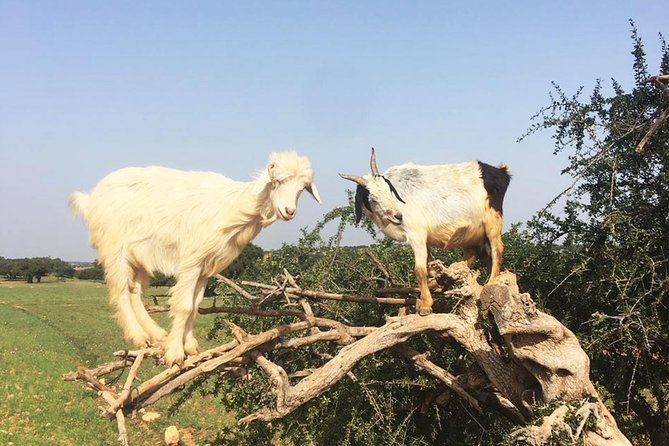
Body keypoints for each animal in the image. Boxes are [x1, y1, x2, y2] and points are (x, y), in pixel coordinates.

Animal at [70, 151, 320, 366]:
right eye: (277, 181)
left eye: (302, 188)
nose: (289, 211)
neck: (231, 207)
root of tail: (90, 199)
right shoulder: (192, 259)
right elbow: (183, 306)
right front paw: (174, 354)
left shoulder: (205, 266)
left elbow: (195, 305)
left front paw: (190, 346)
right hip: (114, 248)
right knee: (121, 292)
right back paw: (140, 337)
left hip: (140, 255)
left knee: (135, 292)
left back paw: (156, 334)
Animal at [342, 148, 508, 316]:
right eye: (372, 198)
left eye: (389, 190)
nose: (398, 216)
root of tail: (500, 172)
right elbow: (430, 264)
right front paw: (435, 281)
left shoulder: (417, 234)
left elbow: (420, 270)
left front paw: (425, 305)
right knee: (472, 254)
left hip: (492, 221)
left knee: (497, 250)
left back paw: (490, 283)